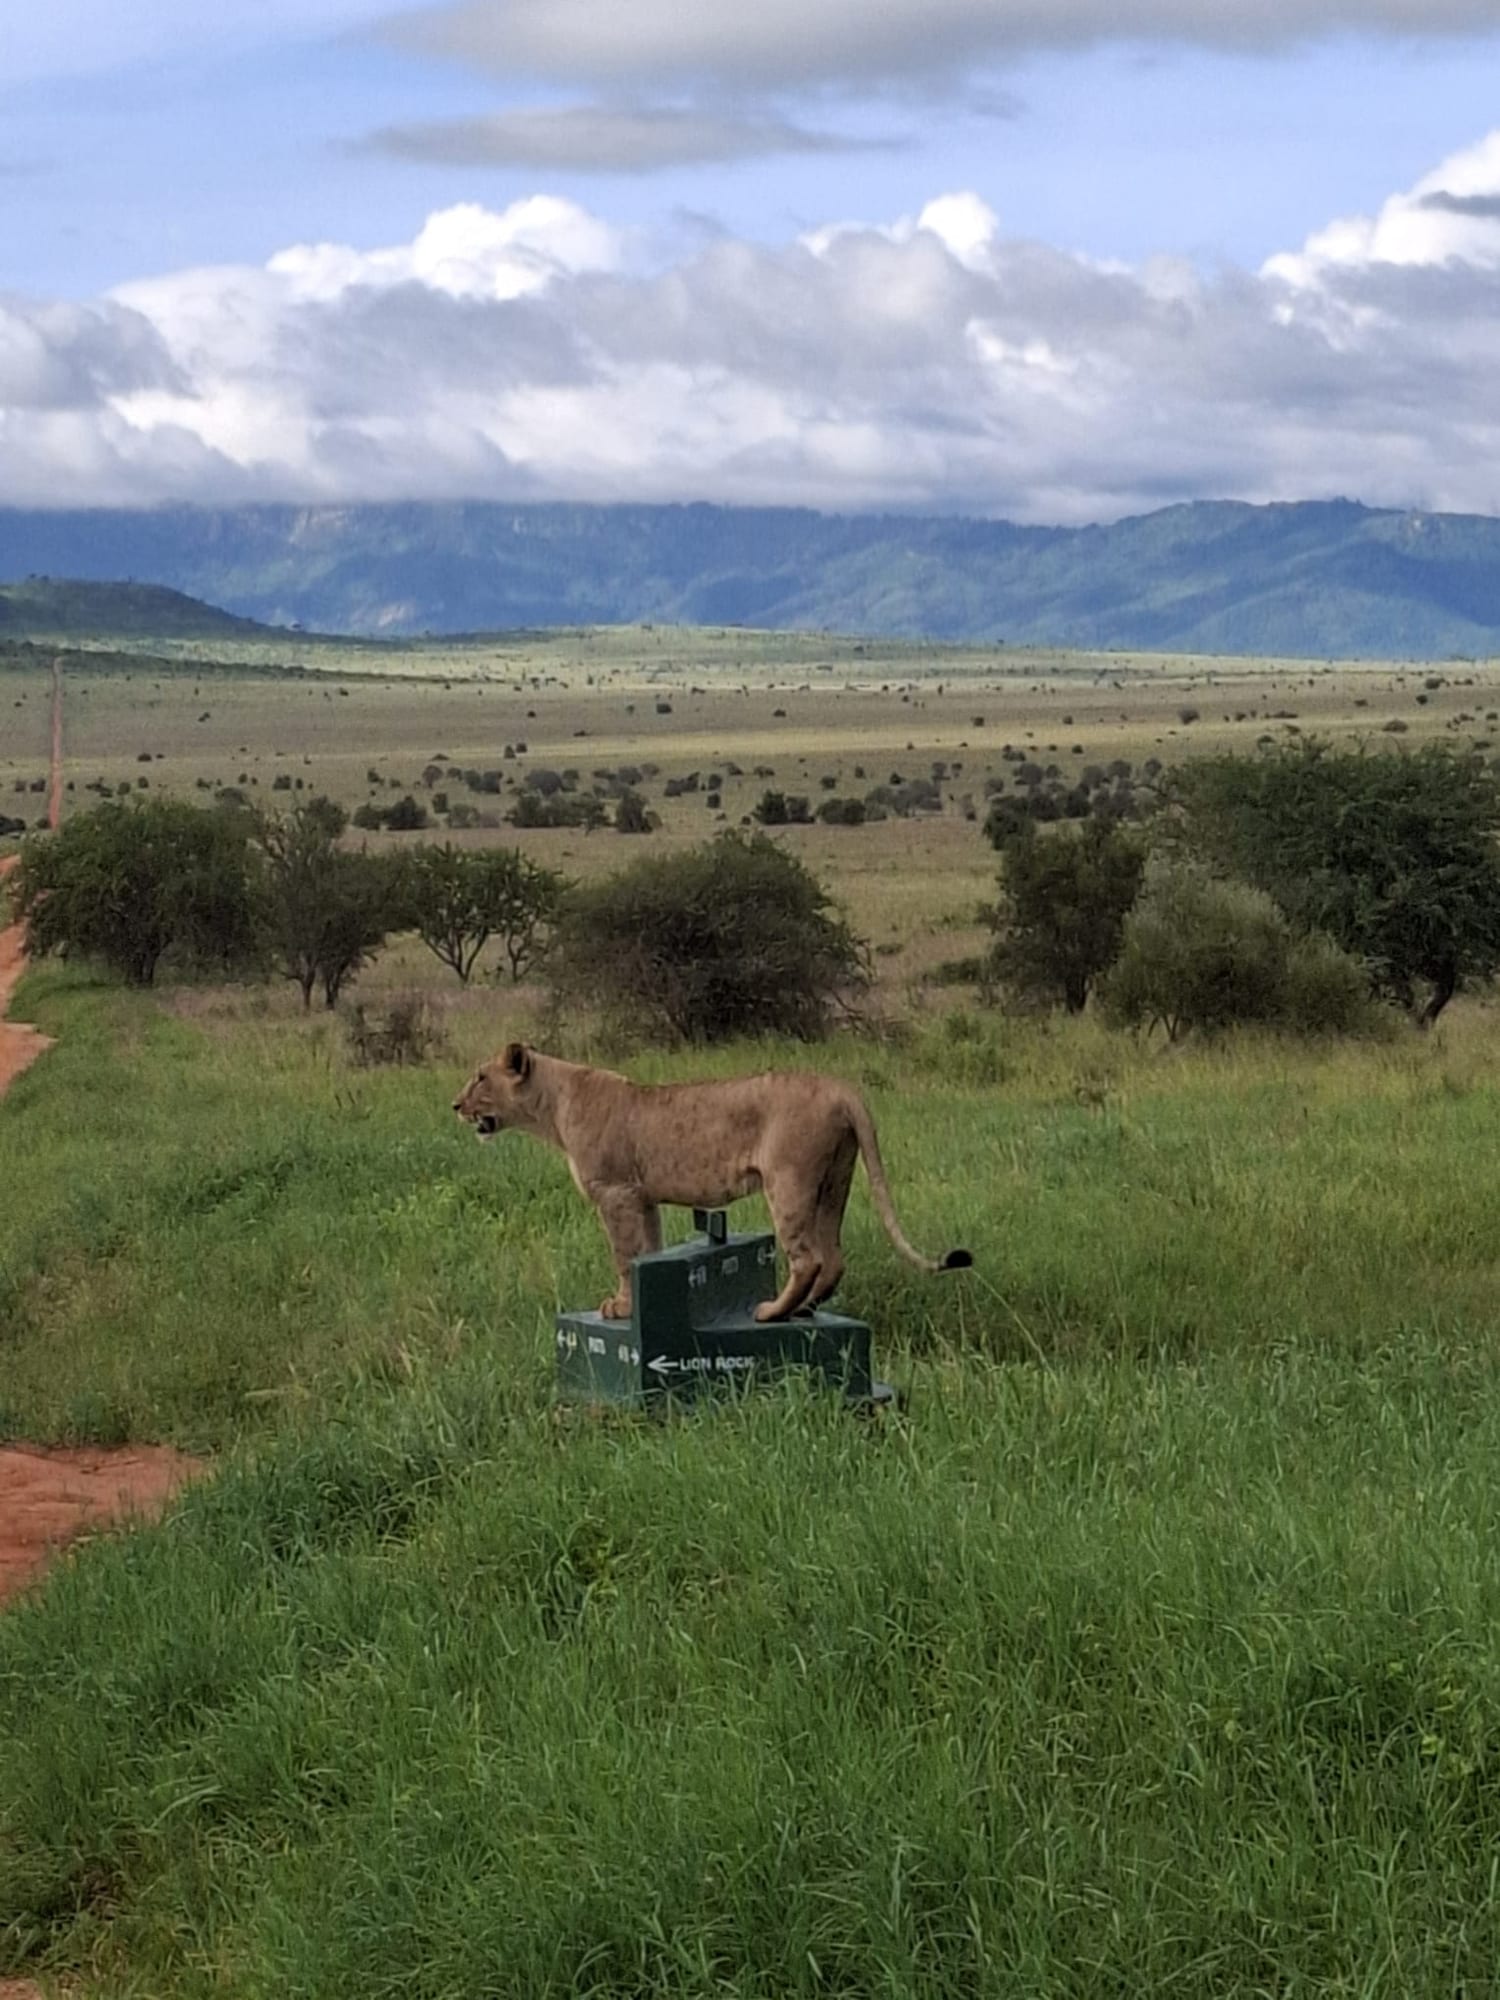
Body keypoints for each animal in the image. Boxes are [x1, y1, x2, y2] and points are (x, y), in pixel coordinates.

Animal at [453, 1043, 971, 1322]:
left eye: (480, 1077)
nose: (455, 1106)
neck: (553, 1107)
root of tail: (841, 1088)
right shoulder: (642, 1197)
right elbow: (646, 1250)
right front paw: (634, 1305)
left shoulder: (615, 1192)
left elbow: (623, 1255)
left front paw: (619, 1306)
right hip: (835, 1181)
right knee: (834, 1257)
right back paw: (804, 1309)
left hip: (788, 1181)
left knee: (808, 1257)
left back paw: (773, 1311)